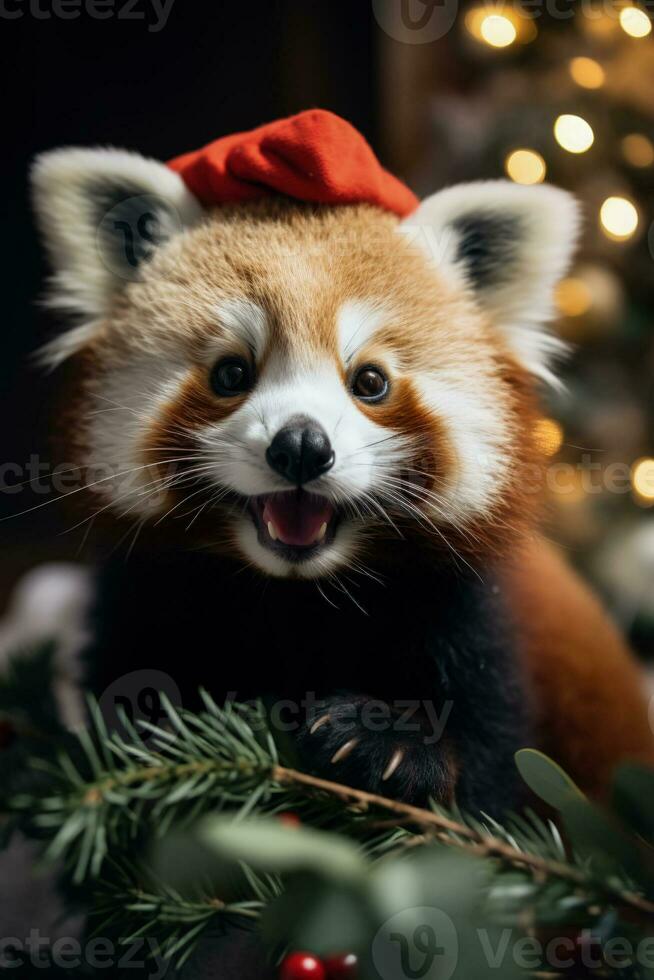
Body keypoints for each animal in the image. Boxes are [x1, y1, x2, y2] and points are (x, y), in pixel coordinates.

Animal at [30, 122, 654, 812]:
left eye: (370, 382)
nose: (302, 446)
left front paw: (391, 744)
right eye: (231, 373)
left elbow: (492, 764)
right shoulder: (143, 595)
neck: (299, 598)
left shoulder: (477, 618)